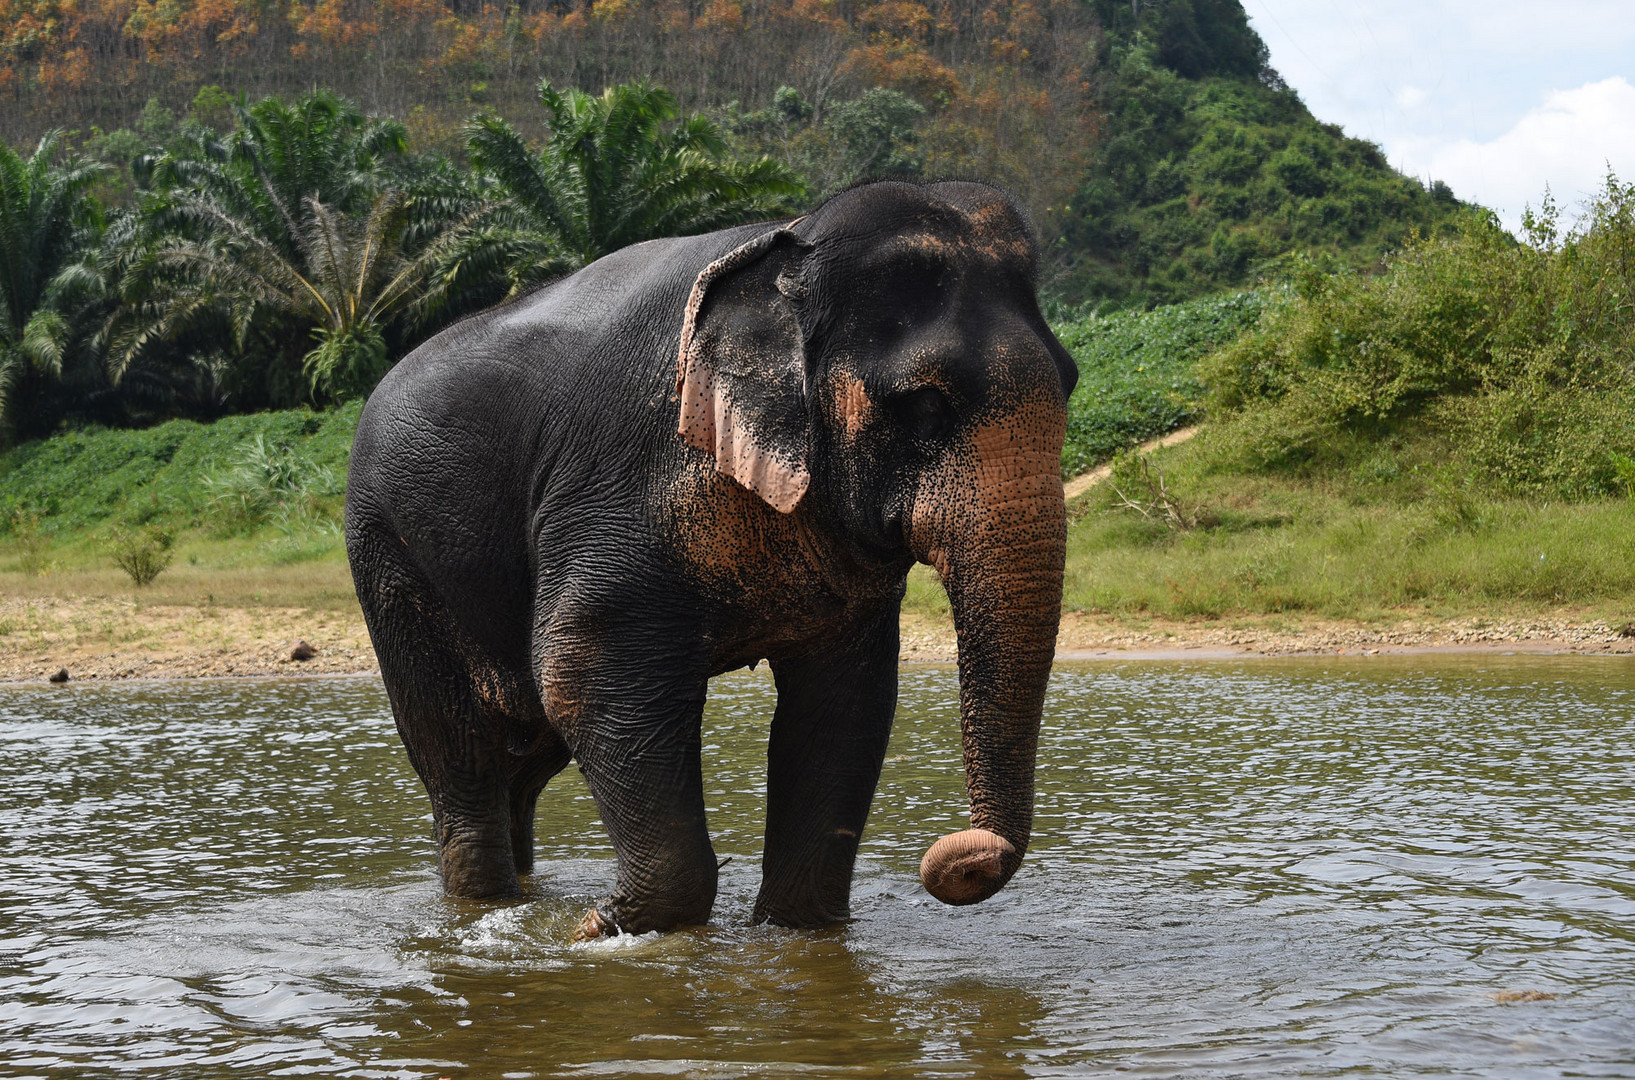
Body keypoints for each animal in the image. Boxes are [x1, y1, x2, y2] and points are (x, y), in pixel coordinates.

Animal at [343, 177, 1079, 934]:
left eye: (1073, 382)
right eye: (927, 406)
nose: (957, 858)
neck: (788, 245)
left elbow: (845, 700)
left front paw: (794, 933)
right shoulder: (621, 481)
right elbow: (582, 664)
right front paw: (597, 931)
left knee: (521, 763)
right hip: (388, 553)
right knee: (461, 756)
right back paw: (487, 905)